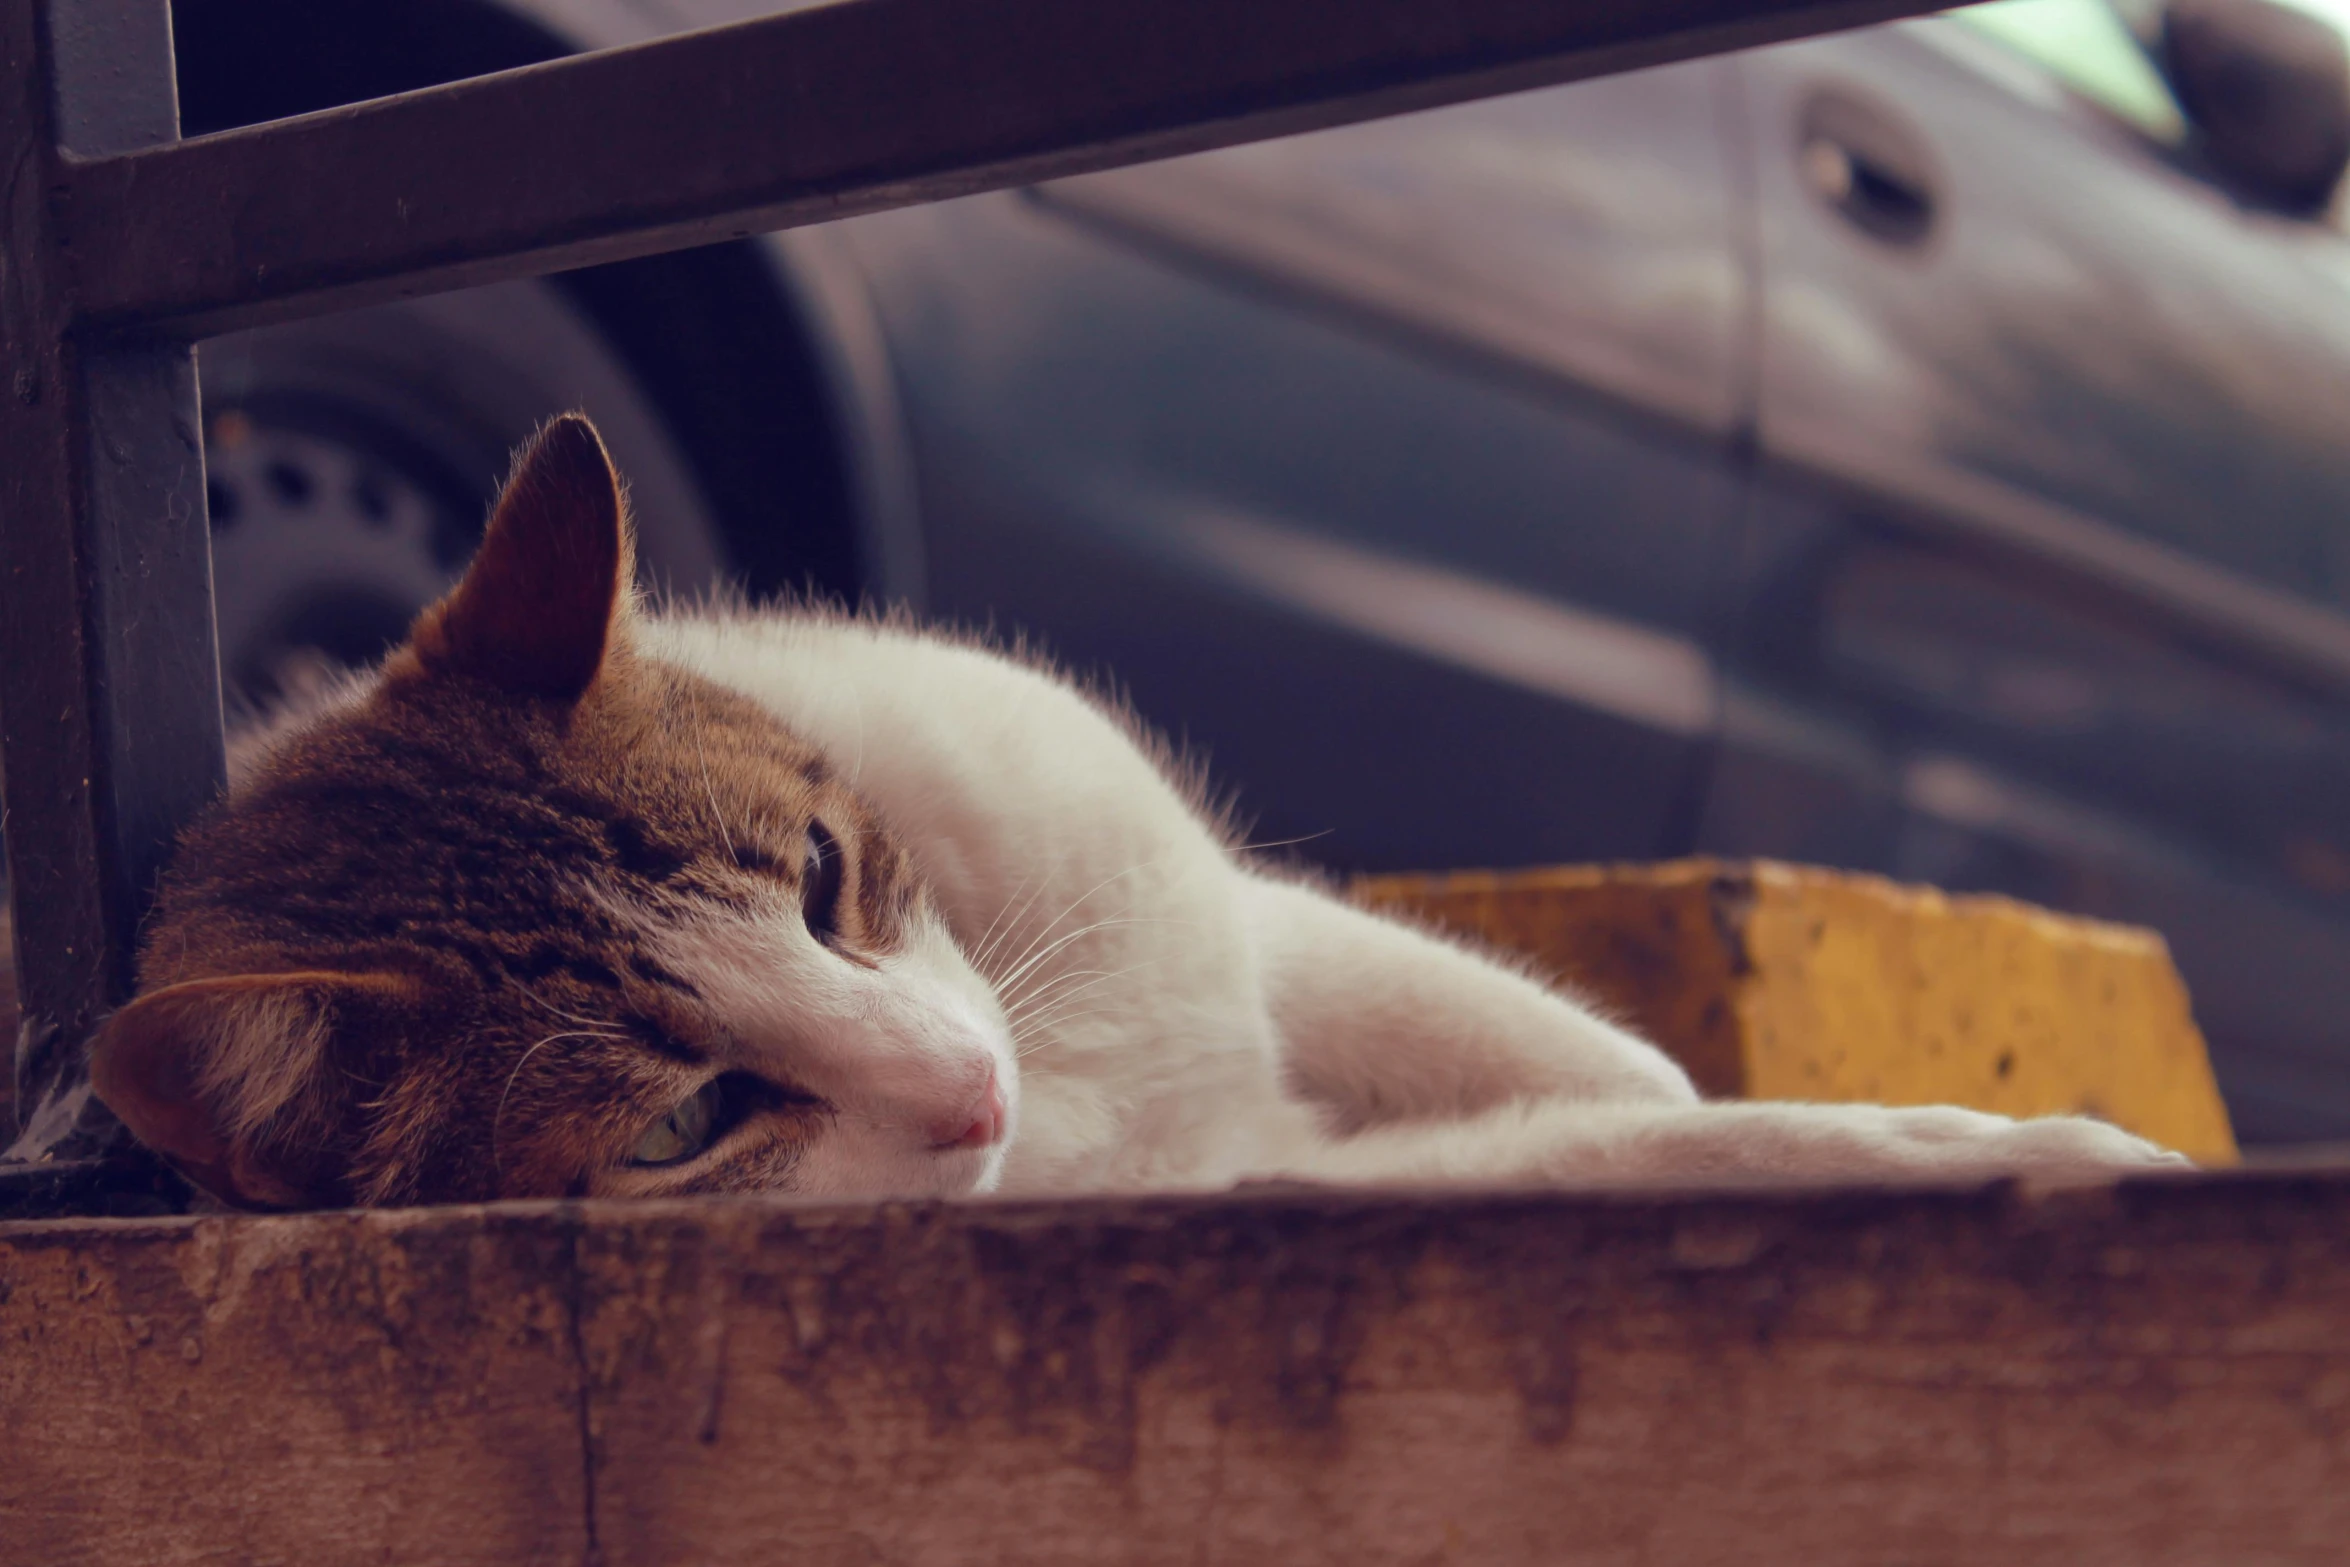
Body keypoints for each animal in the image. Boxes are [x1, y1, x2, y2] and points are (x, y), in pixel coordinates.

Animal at [86, 415, 2180, 1212]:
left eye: (824, 878)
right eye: (677, 1124)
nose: (971, 1096)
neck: (1073, 1056)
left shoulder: (1242, 920)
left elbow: (1612, 1066)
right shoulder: (1260, 1177)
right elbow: (1639, 1143)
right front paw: (2022, 1146)